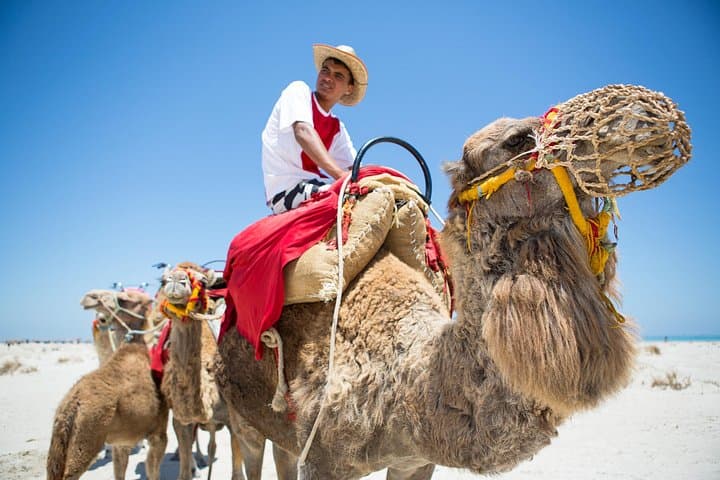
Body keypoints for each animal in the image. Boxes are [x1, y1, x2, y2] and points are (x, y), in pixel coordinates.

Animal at [47, 289, 168, 480]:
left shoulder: (122, 441)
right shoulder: (158, 432)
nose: (90, 297)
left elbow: (120, 471)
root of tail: (71, 406)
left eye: (124, 298)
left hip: (61, 440)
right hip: (87, 435)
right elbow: (152, 472)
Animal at [158, 262, 297, 480]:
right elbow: (184, 470)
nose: (176, 281)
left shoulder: (233, 422)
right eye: (163, 281)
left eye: (203, 283)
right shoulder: (180, 418)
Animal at [214, 91, 689, 479]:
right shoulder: (322, 459)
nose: (646, 114)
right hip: (241, 417)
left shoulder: (416, 461)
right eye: (517, 139)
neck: (409, 379)